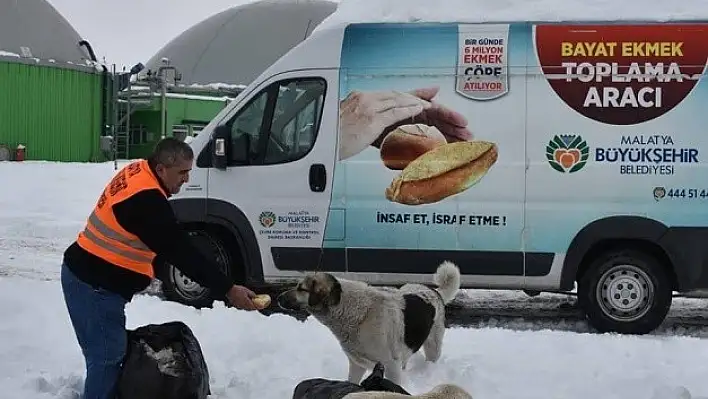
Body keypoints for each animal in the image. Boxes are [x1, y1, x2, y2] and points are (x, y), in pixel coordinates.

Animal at [280, 260, 462, 386]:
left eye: (301, 289)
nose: (278, 298)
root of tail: (435, 291)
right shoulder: (356, 365)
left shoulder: (391, 366)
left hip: (432, 347)